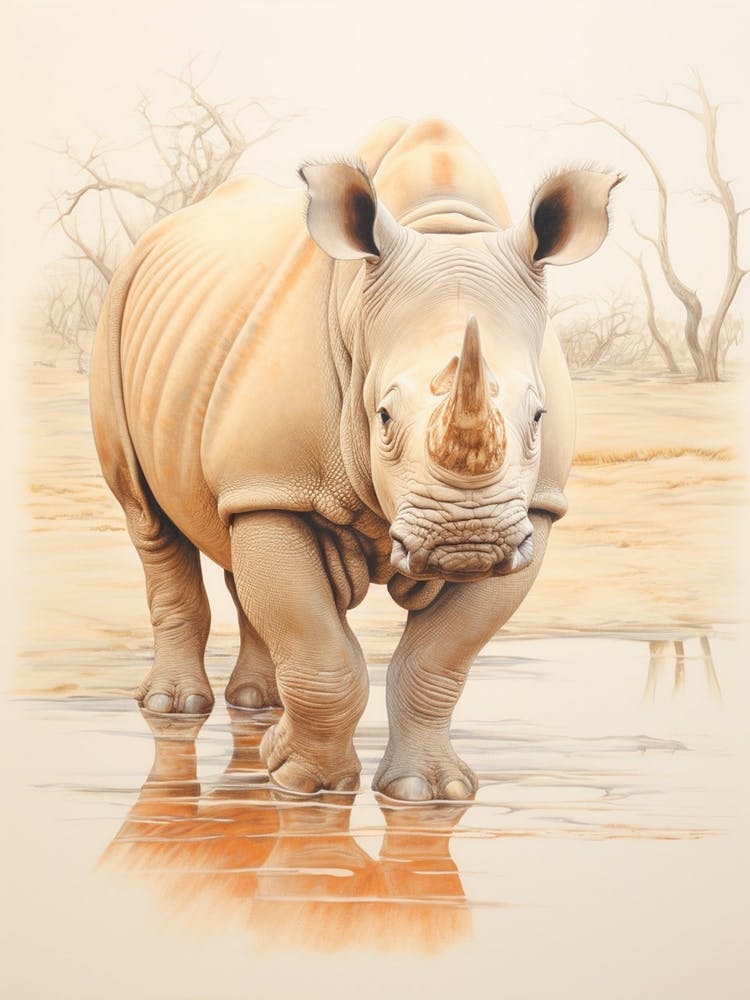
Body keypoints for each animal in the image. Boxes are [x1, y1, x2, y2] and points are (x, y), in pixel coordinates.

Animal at [90, 118, 620, 801]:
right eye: (384, 417)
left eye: (537, 417)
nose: (469, 539)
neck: (443, 227)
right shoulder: (280, 483)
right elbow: (320, 648)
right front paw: (302, 784)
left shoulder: (535, 510)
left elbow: (438, 658)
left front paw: (427, 793)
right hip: (118, 306)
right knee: (149, 518)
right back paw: (173, 709)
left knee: (231, 536)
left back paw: (258, 706)